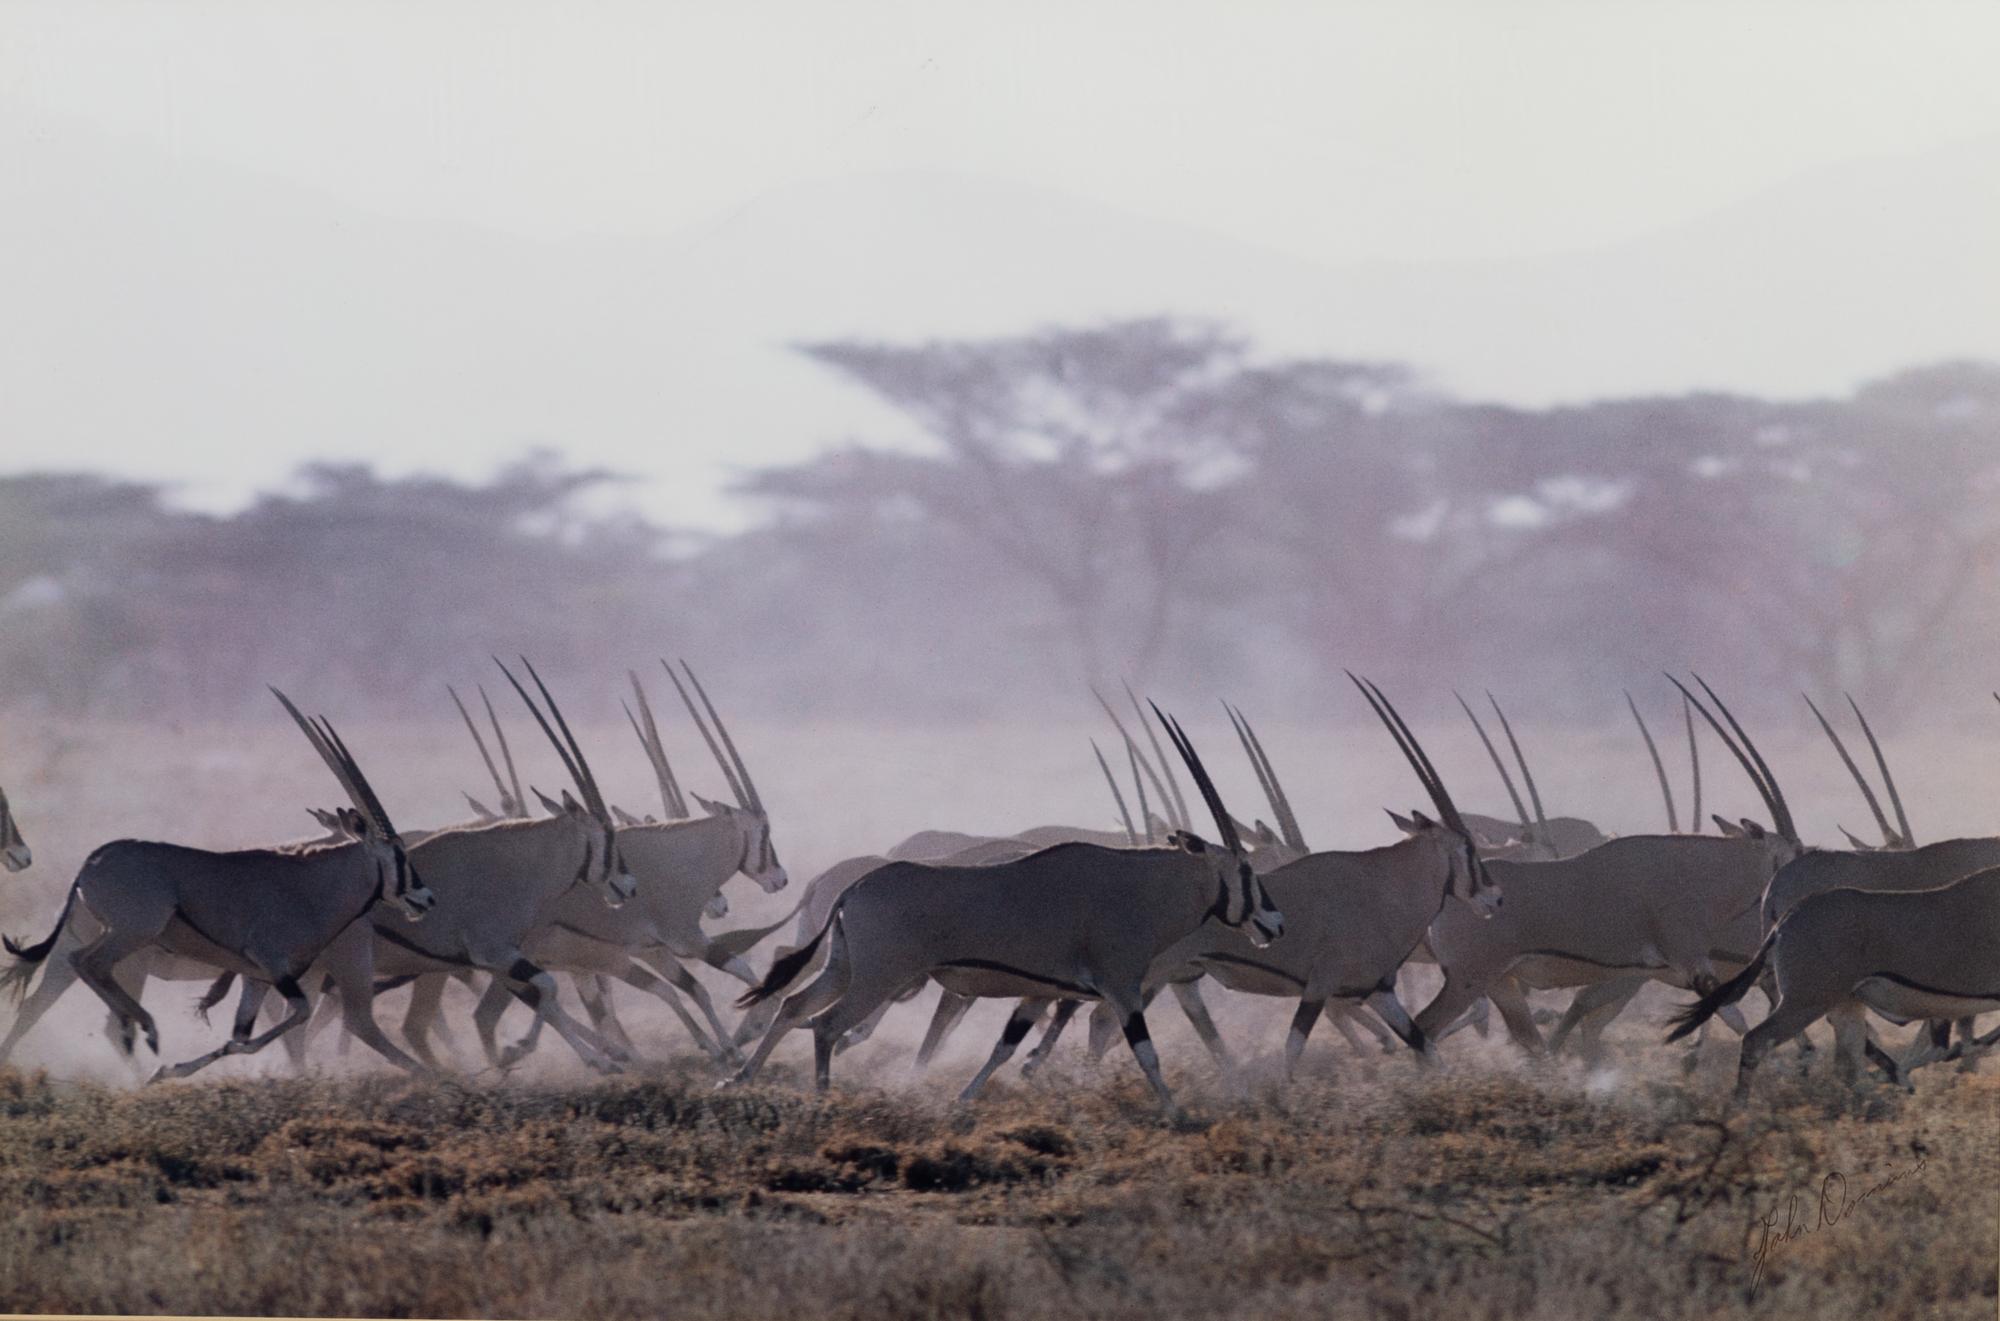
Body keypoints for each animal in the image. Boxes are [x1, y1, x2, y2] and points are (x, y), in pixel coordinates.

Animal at [0, 691, 436, 1081]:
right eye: (398, 853)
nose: (426, 897)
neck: (316, 884)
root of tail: (92, 861)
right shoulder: (273, 965)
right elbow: (296, 1015)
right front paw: (169, 1068)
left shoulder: (257, 978)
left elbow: (241, 1036)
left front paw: (174, 1070)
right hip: (132, 935)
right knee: (89, 965)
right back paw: (148, 1030)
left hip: (103, 944)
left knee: (62, 987)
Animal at [726, 707, 1284, 1117]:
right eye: (1245, 868)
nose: (1275, 923)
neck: (1141, 884)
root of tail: (852, 888)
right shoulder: (1121, 986)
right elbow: (1146, 1051)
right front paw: (1175, 1112)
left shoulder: (1041, 993)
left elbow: (1005, 1047)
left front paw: (963, 1101)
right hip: (878, 977)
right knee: (825, 1025)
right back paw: (821, 1098)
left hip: (844, 968)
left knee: (792, 1007)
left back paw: (737, 1077)